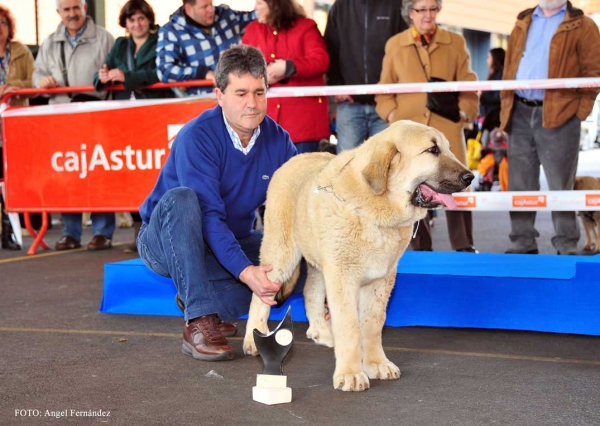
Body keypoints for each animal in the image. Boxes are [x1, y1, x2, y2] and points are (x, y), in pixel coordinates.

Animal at [243, 120, 474, 392]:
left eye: (448, 149)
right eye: (432, 150)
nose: (470, 177)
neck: (375, 209)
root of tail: (292, 161)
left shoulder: (380, 280)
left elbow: (372, 323)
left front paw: (376, 363)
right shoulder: (342, 277)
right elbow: (350, 325)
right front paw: (351, 373)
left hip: (320, 262)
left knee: (310, 290)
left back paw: (321, 331)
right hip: (281, 254)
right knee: (261, 293)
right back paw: (253, 338)